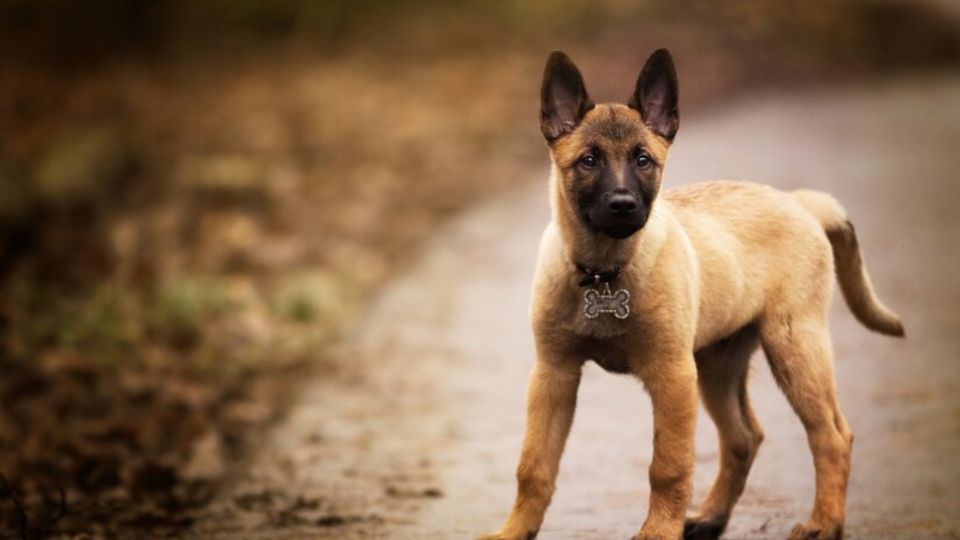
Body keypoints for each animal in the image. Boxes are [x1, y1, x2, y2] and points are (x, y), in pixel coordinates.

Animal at [484, 50, 904, 540]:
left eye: (643, 160)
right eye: (588, 160)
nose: (623, 205)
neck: (606, 270)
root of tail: (800, 202)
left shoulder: (672, 376)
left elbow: (668, 466)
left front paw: (657, 531)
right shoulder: (554, 374)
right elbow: (533, 466)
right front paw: (514, 531)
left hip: (795, 346)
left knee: (832, 436)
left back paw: (823, 523)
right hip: (718, 362)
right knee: (744, 437)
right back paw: (710, 518)